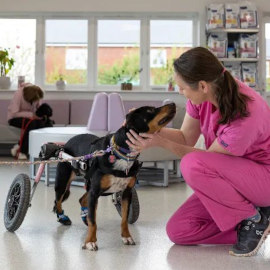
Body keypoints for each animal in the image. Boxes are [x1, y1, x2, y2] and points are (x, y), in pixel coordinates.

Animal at [52, 102, 176, 251]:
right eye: (150, 110)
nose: (173, 103)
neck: (122, 154)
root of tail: (66, 143)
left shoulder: (126, 192)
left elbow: (124, 219)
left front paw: (126, 236)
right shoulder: (95, 192)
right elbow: (94, 221)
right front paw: (90, 241)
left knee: (82, 200)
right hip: (63, 181)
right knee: (58, 201)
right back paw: (62, 217)